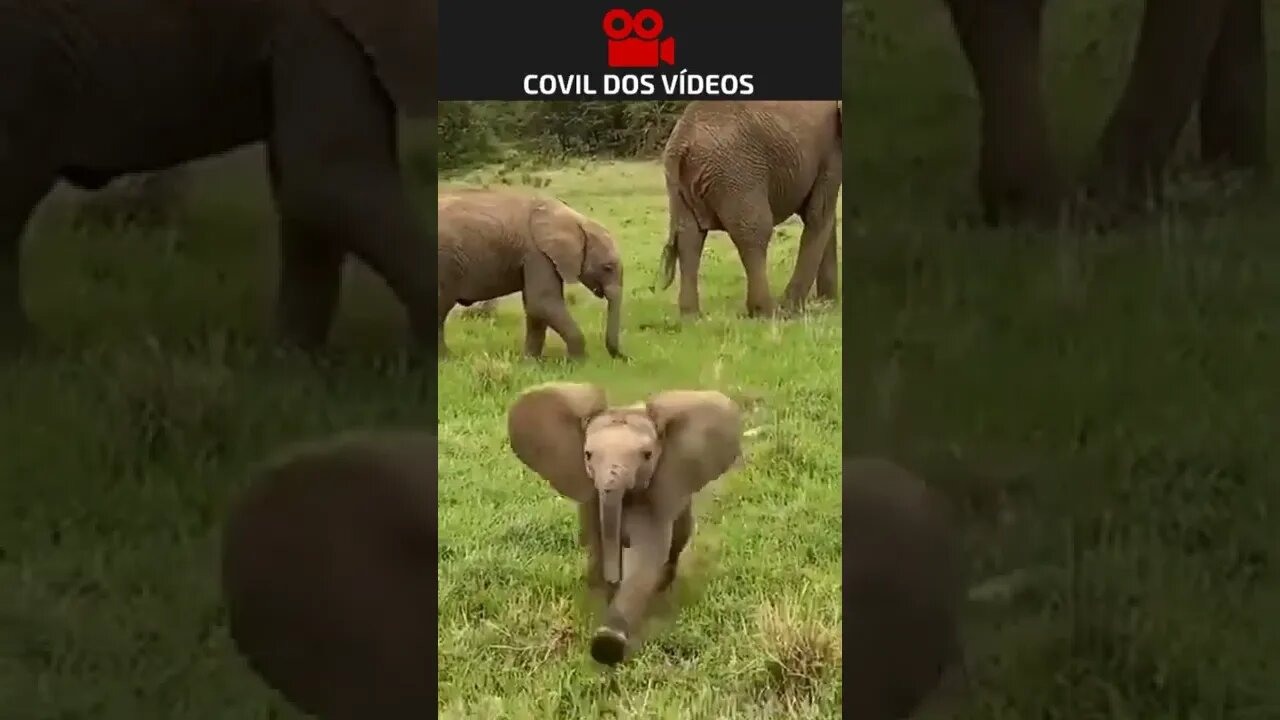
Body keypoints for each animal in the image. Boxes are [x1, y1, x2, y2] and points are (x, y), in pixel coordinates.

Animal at [438, 188, 624, 360]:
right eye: (607, 267)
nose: (622, 357)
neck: (575, 220)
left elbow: (534, 307)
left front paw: (531, 362)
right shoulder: (538, 254)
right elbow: (541, 302)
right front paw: (579, 363)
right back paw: (447, 358)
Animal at [507, 382, 743, 666]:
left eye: (647, 455)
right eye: (588, 455)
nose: (606, 644)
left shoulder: (659, 490)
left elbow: (646, 554)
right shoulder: (591, 497)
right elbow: (597, 542)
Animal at [658, 100, 842, 318]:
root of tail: (682, 142)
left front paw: (827, 302)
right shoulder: (831, 149)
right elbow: (818, 214)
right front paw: (793, 308)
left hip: (684, 185)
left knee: (689, 237)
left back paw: (691, 315)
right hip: (737, 174)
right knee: (754, 232)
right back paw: (767, 312)